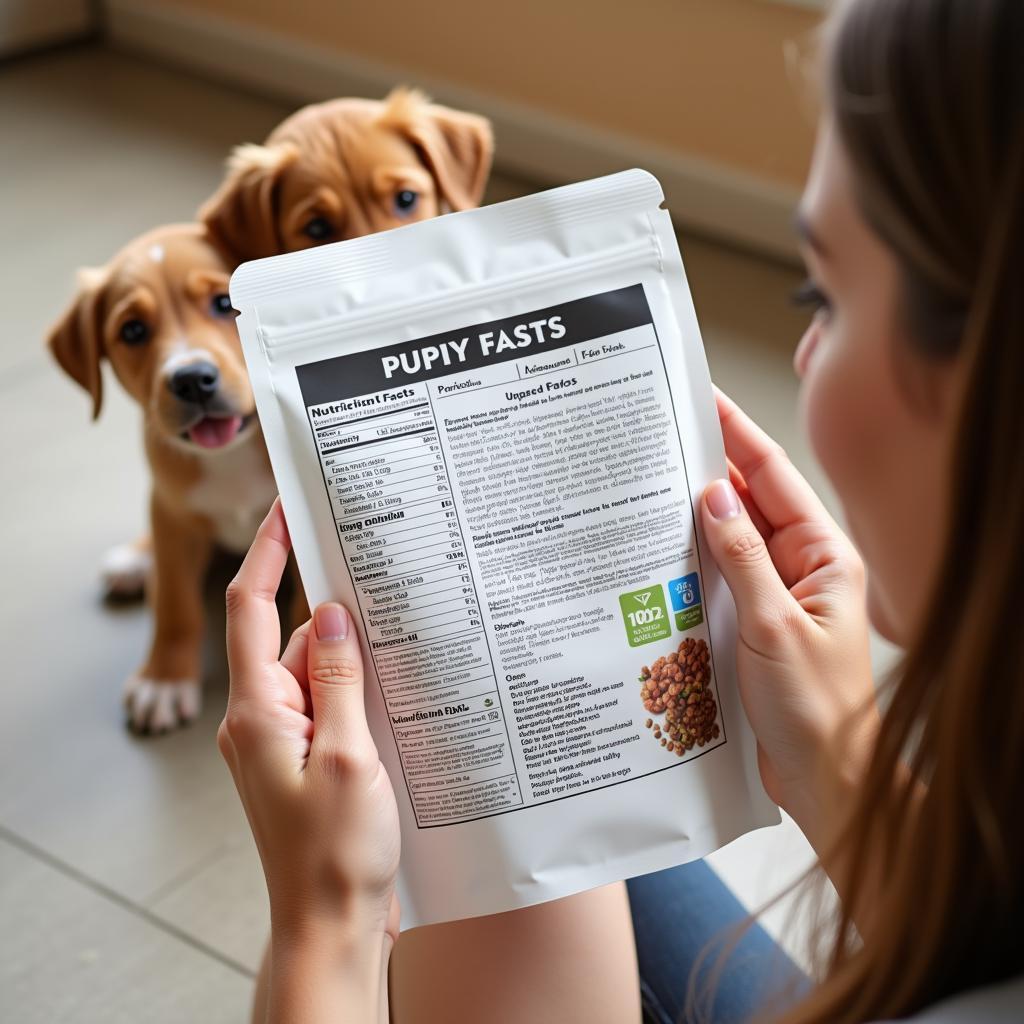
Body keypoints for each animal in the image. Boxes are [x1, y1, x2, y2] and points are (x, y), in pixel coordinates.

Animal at [49, 225, 278, 737]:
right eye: (133, 331)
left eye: (223, 303)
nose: (192, 379)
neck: (230, 455)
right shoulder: (170, 515)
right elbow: (175, 603)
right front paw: (165, 680)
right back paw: (135, 561)